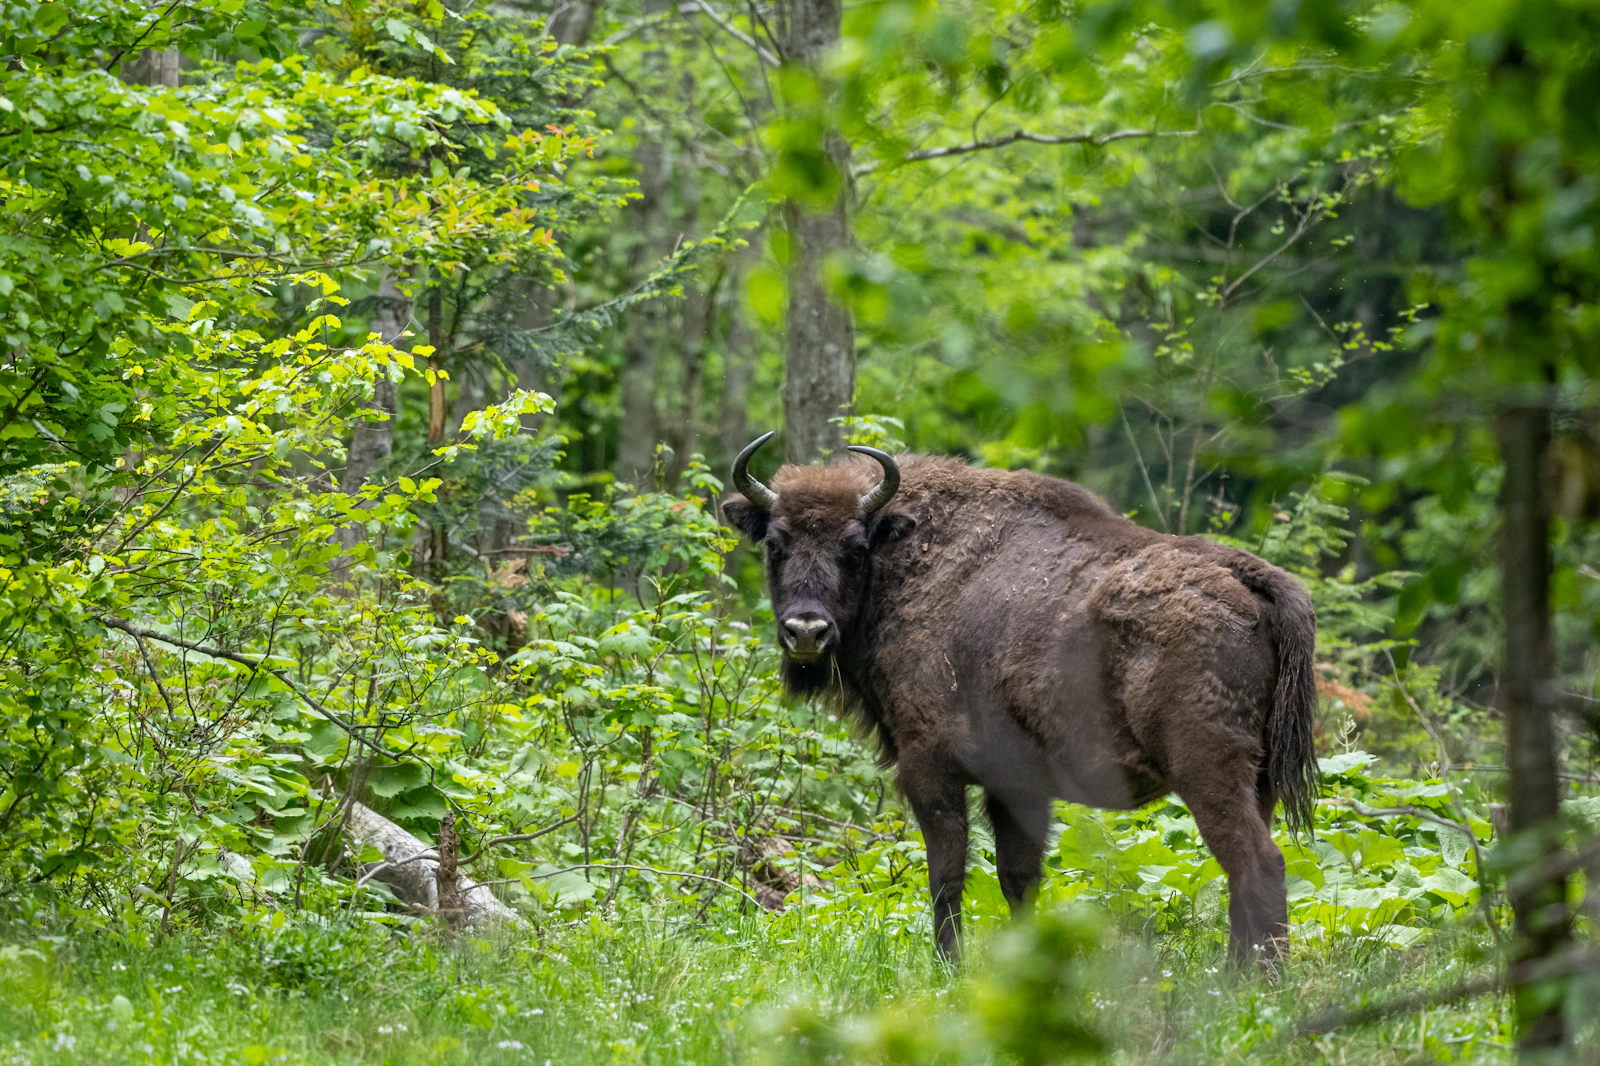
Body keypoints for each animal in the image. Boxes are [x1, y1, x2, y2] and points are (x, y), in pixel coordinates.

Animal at [722, 434, 1318, 967]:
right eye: (774, 543)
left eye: (855, 546)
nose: (806, 630)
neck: (906, 558)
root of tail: (1247, 576)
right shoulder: (1017, 787)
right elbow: (1019, 878)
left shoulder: (929, 766)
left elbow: (947, 873)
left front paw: (949, 966)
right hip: (1259, 781)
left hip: (1208, 771)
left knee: (1258, 864)